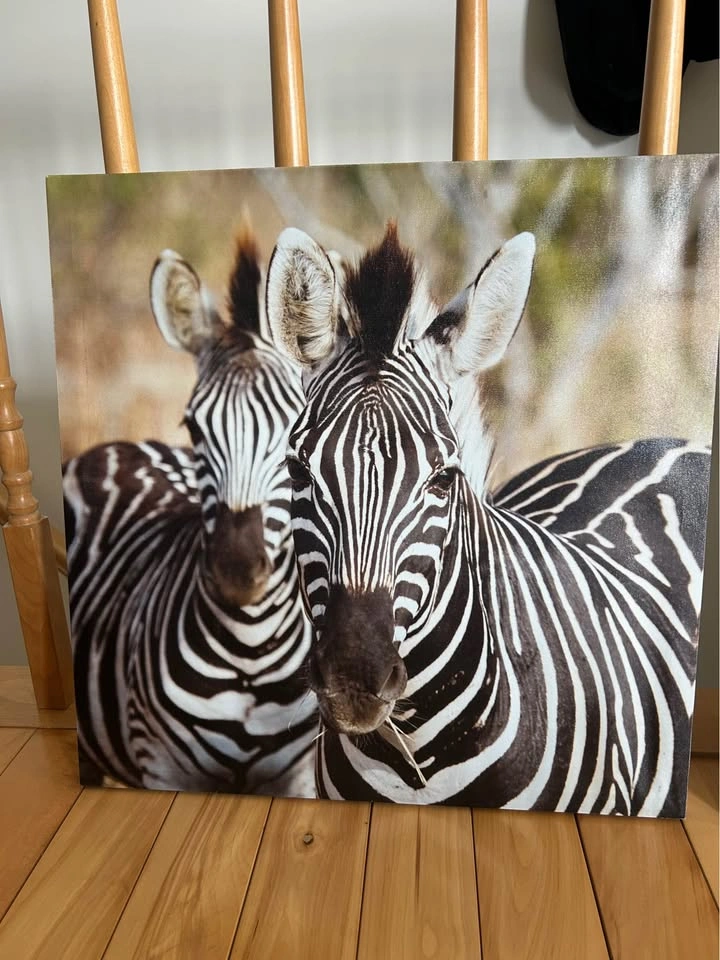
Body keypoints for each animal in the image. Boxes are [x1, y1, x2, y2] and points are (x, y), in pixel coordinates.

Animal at [63, 230, 318, 796]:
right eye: (194, 428)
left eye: (295, 434)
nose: (236, 569)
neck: (250, 652)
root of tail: (116, 446)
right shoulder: (161, 765)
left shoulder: (299, 774)